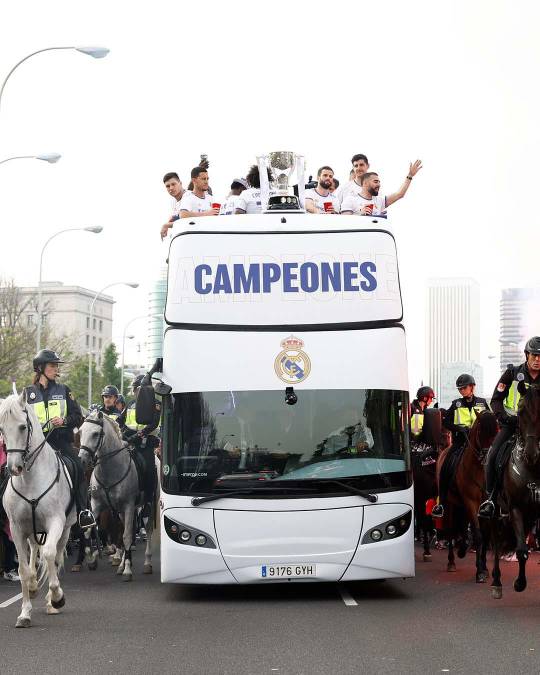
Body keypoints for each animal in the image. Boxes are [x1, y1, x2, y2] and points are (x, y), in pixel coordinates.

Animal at [0, 396, 76, 628]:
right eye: (2, 429)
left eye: (23, 427)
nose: (13, 468)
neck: (30, 480)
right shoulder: (16, 528)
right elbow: (24, 570)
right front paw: (24, 613)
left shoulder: (55, 523)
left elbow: (50, 555)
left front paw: (57, 598)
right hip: (31, 530)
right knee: (34, 551)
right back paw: (34, 587)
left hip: (66, 529)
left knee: (55, 557)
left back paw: (52, 602)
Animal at [78, 412, 155, 580]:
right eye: (80, 432)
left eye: (95, 434)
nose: (82, 460)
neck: (110, 469)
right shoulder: (96, 504)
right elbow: (88, 530)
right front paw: (91, 560)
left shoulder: (129, 505)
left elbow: (126, 536)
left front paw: (127, 571)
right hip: (121, 511)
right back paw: (121, 564)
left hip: (147, 506)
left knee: (146, 530)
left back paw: (146, 563)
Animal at [436, 412, 500, 580]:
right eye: (481, 431)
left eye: (497, 431)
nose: (488, 456)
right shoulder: (471, 502)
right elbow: (478, 535)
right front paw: (480, 572)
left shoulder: (485, 507)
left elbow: (485, 535)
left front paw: (484, 567)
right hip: (450, 504)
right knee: (451, 530)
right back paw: (452, 561)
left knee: (463, 526)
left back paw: (463, 548)